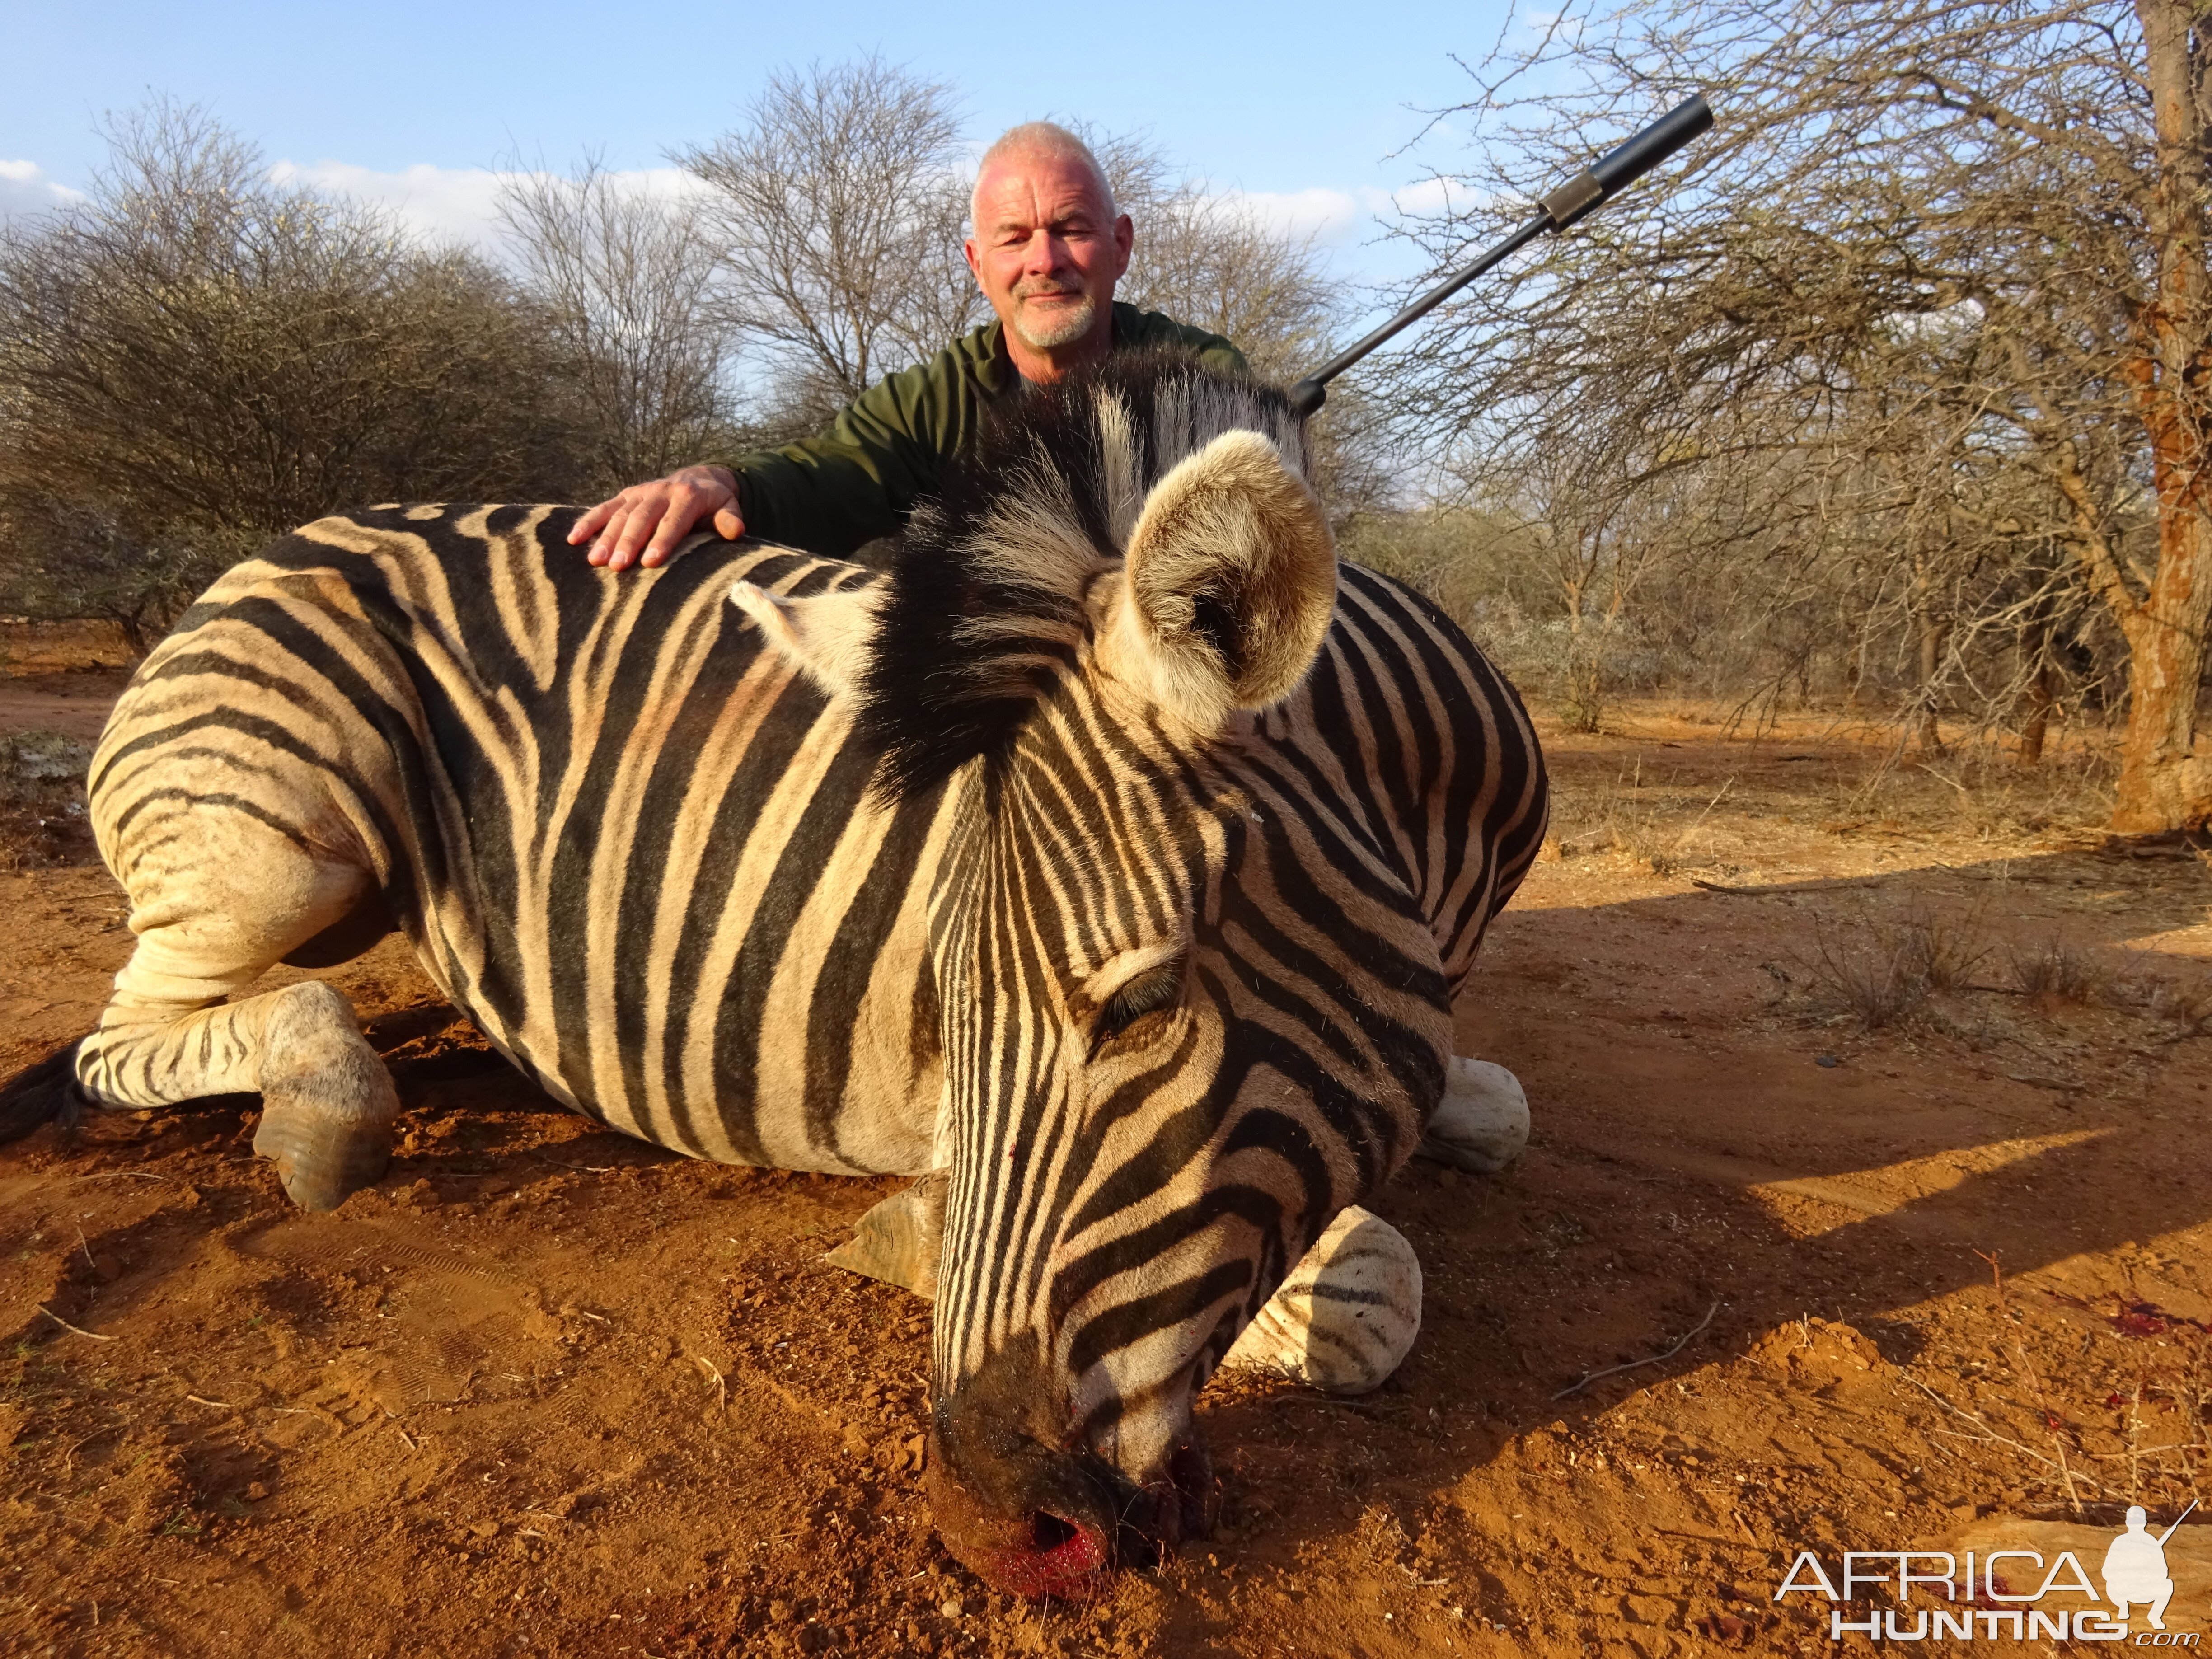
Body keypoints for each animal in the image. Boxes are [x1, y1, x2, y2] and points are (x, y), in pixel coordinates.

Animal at [0, 358, 1548, 1601]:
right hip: (274, 824)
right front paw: (916, 1230)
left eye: (1143, 1006)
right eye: (952, 1005)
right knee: (126, 1040)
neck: (1445, 839)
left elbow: (1496, 1108)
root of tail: (289, 537)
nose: (991, 1527)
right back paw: (322, 1103)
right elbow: (1373, 1294)